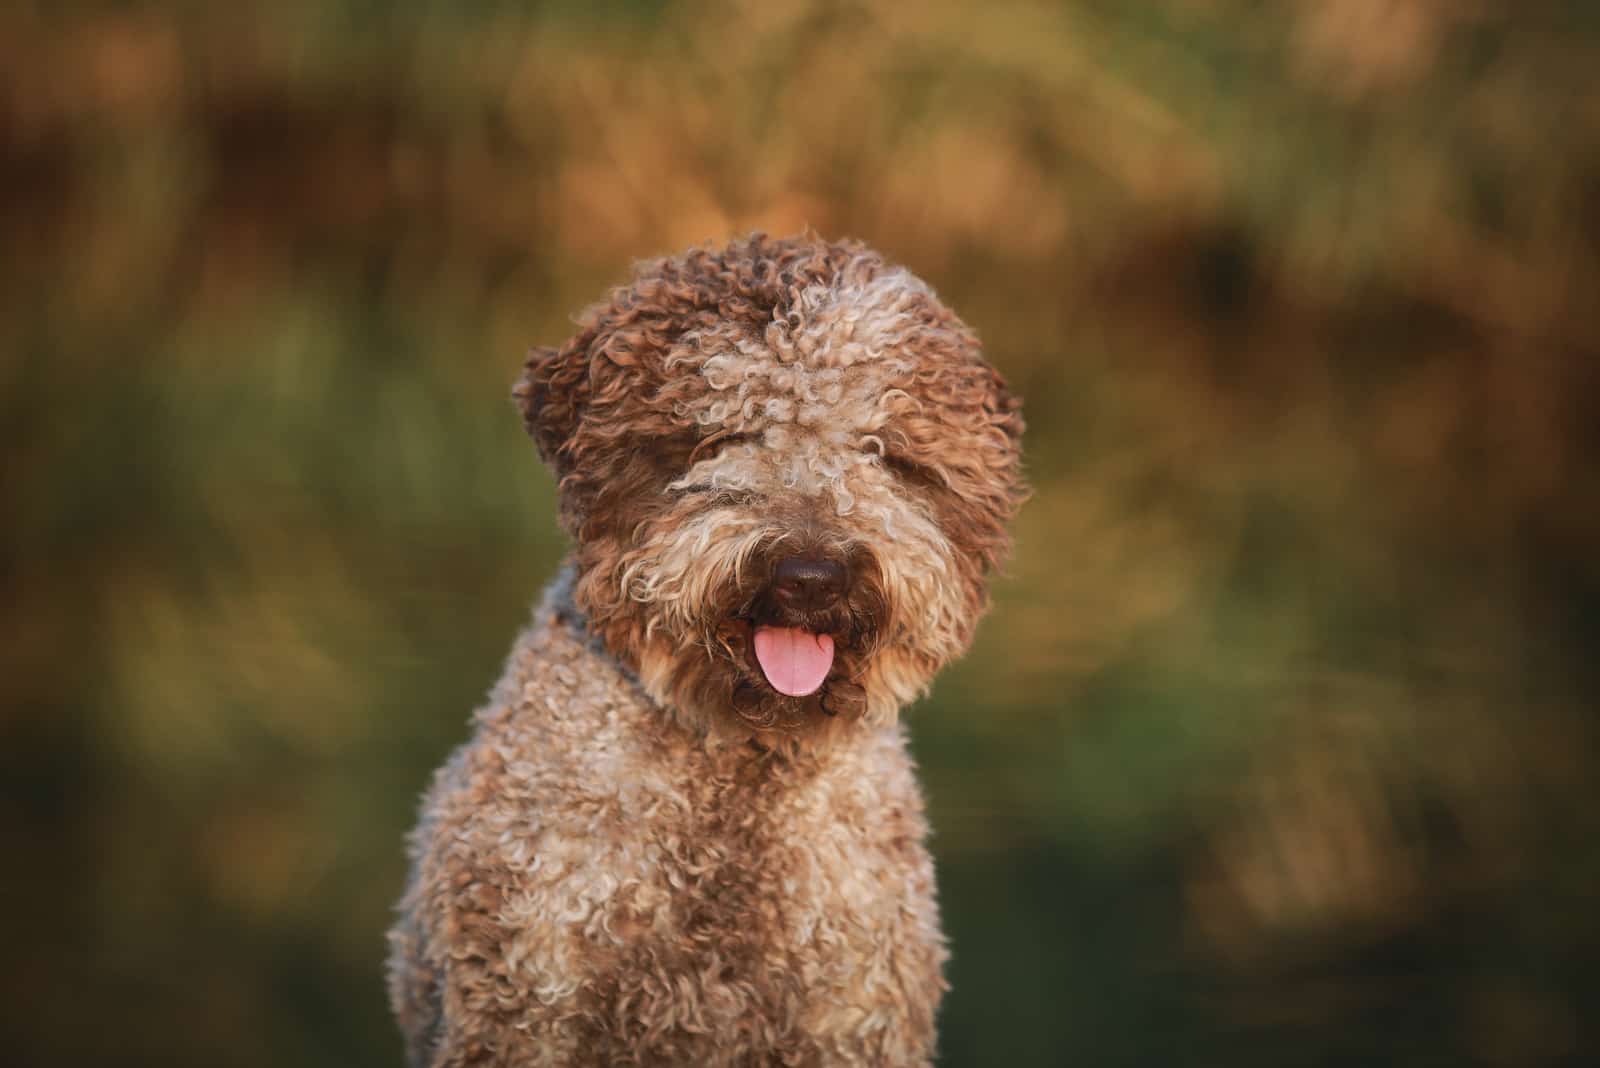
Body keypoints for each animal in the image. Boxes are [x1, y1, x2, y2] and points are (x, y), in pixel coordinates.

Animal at [387, 235, 1024, 1068]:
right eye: (720, 436)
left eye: (884, 452)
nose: (810, 578)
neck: (738, 772)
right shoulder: (521, 1003)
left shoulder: (854, 1016)